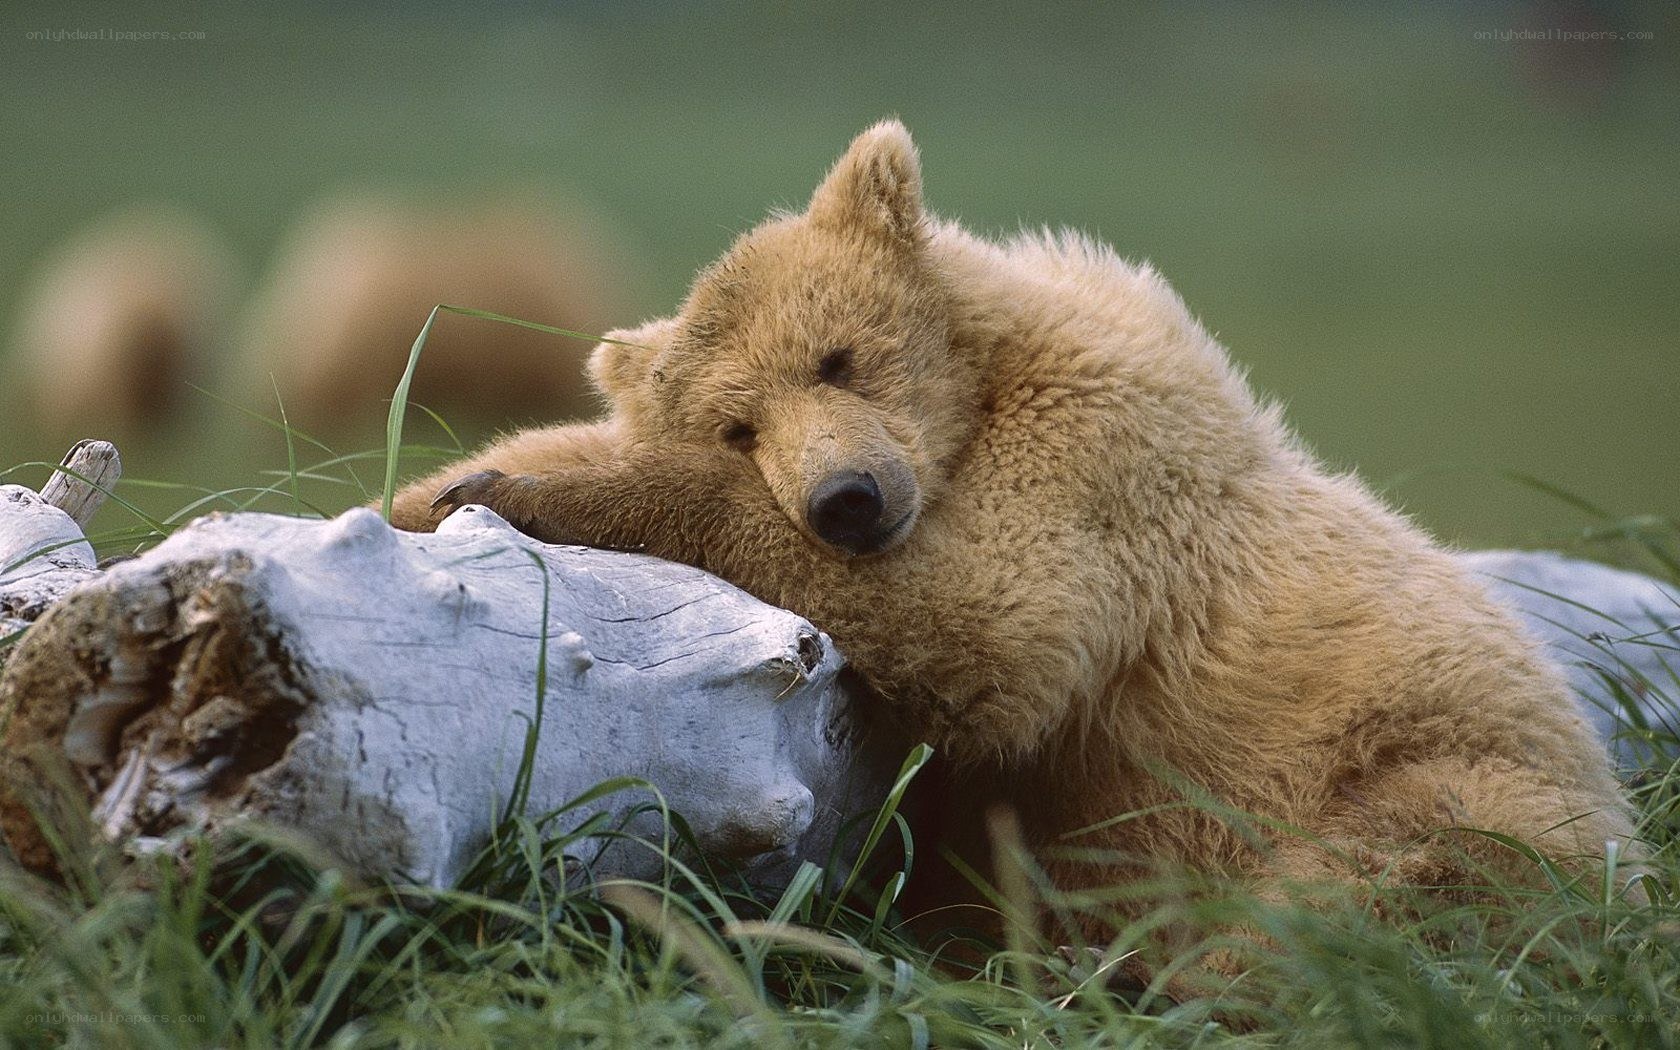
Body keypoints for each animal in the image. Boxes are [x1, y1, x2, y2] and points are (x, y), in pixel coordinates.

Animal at [388, 121, 1632, 933]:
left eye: (838, 357)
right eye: (740, 424)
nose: (846, 501)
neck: (981, 395)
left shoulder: (1101, 465)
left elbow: (990, 621)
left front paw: (532, 494)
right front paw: (443, 484)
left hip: (1440, 770)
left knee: (1399, 874)